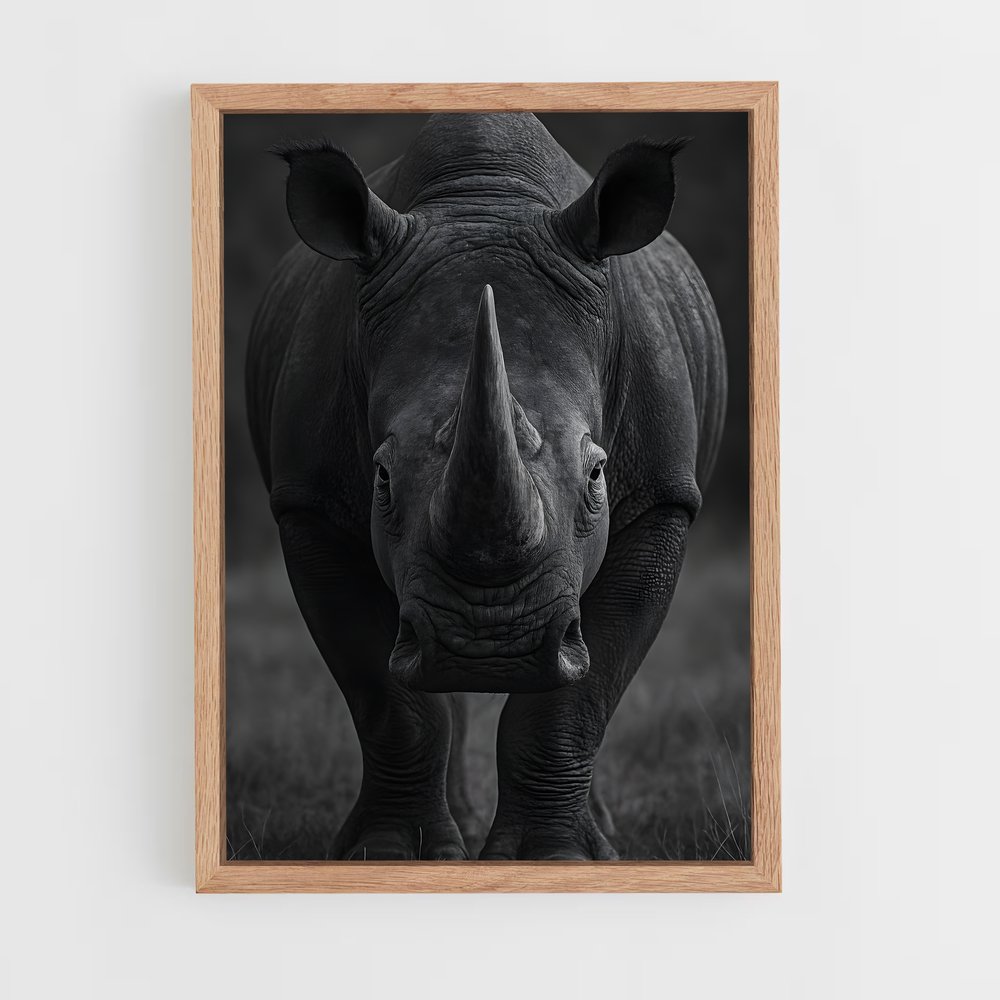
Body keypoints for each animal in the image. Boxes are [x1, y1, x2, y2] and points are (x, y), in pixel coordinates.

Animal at [246, 113, 726, 860]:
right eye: (381, 478)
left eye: (598, 474)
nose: (490, 648)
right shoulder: (309, 505)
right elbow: (388, 699)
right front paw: (390, 854)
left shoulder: (661, 500)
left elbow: (579, 695)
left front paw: (553, 858)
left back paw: (600, 835)